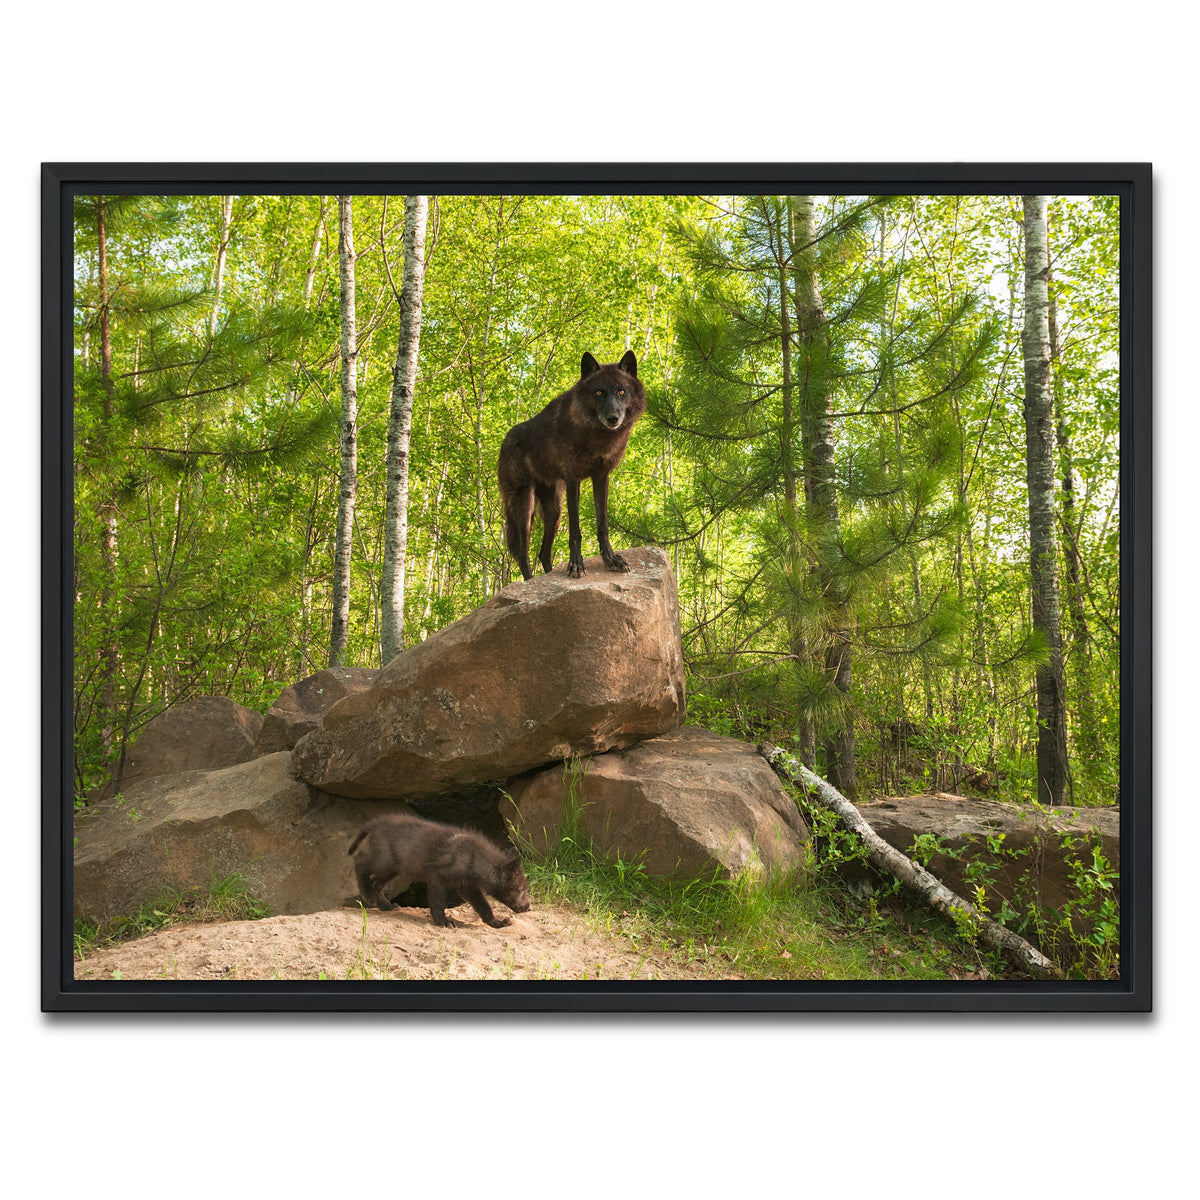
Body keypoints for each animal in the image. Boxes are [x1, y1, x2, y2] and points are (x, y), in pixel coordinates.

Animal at [347, 813, 532, 929]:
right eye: (520, 889)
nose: (528, 907)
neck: (472, 857)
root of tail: (375, 823)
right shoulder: (436, 877)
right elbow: (437, 903)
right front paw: (443, 922)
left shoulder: (467, 886)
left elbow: (483, 906)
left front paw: (496, 922)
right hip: (385, 861)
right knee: (360, 864)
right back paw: (367, 895)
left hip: (394, 868)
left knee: (376, 883)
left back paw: (385, 905)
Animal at [497, 350, 647, 581]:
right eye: (598, 393)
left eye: (621, 391)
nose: (613, 418)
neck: (597, 436)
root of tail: (504, 441)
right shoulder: (572, 480)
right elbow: (576, 530)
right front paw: (576, 565)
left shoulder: (601, 477)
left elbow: (602, 525)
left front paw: (611, 560)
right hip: (525, 507)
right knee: (523, 554)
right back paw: (530, 582)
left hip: (554, 511)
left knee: (543, 553)